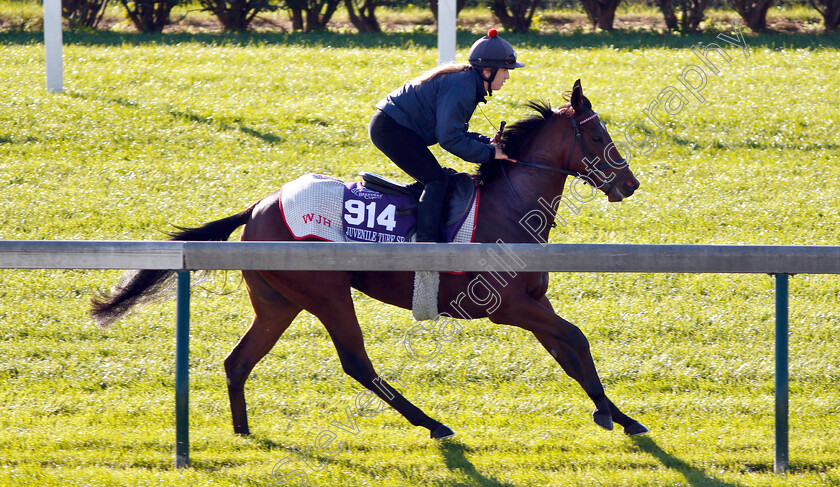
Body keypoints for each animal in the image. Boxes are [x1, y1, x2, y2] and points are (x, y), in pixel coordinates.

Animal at [90, 79, 648, 438]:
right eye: (596, 135)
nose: (629, 183)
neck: (509, 206)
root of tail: (260, 206)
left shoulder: (532, 304)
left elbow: (570, 351)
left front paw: (617, 415)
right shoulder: (505, 307)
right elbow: (576, 339)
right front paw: (612, 414)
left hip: (277, 302)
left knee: (238, 361)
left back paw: (244, 432)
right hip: (327, 294)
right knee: (356, 362)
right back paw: (432, 424)